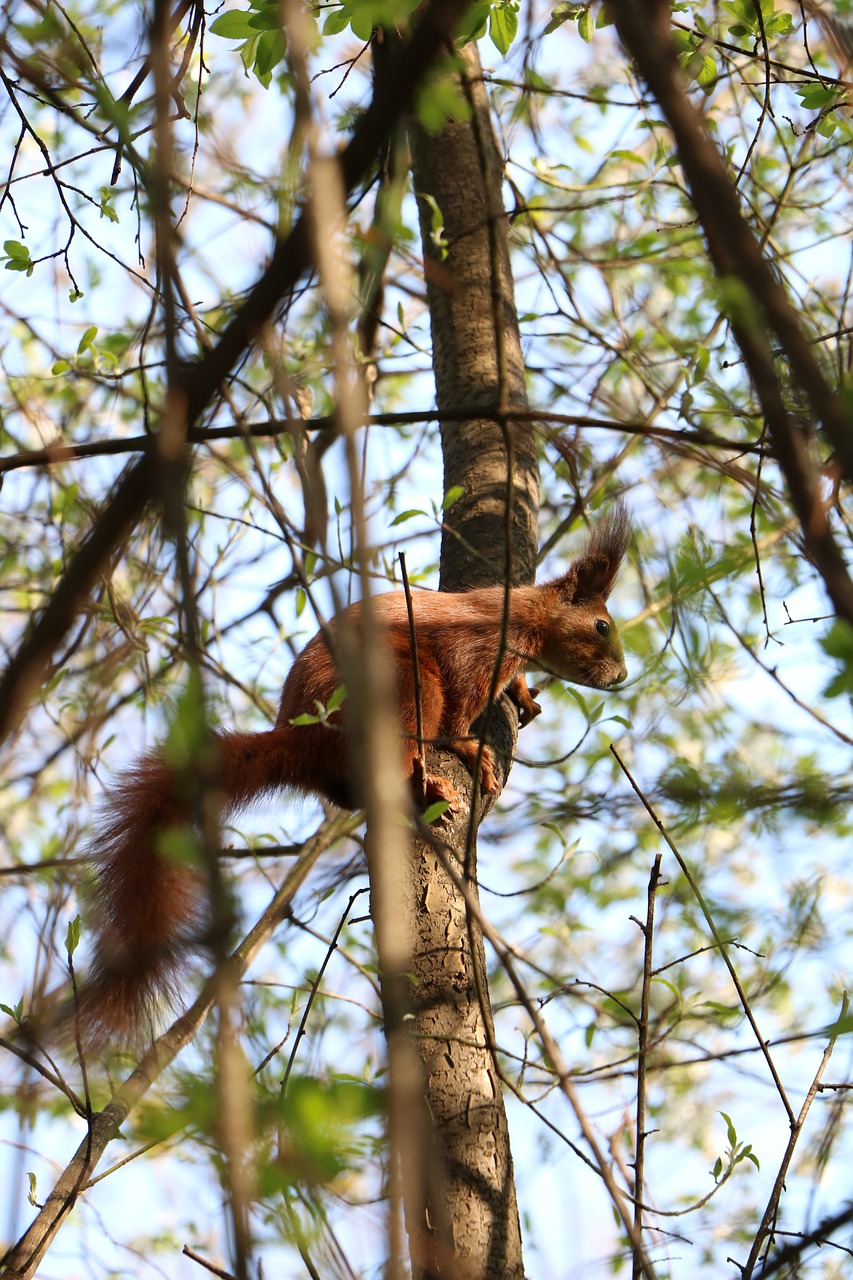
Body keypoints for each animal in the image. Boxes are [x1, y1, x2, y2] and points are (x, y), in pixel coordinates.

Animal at [81, 504, 625, 1044]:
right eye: (601, 626)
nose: (621, 676)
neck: (525, 614)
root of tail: (301, 738)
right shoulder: (478, 646)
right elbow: (461, 703)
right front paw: (468, 745)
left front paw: (524, 693)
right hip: (400, 679)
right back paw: (424, 780)